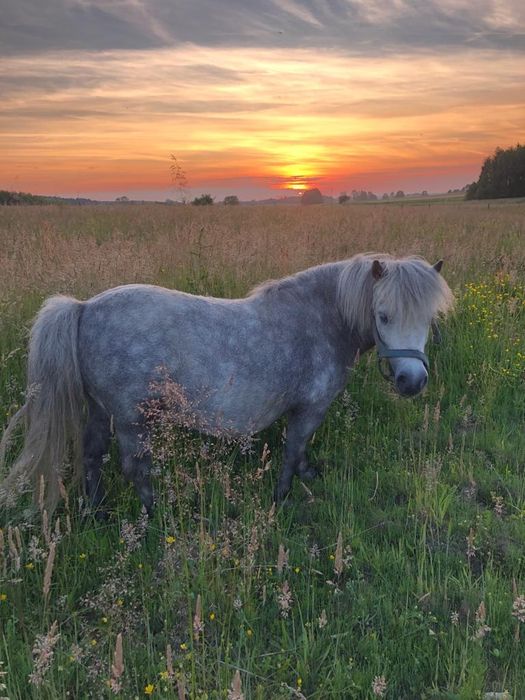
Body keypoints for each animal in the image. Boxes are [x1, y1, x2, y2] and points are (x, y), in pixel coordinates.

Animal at [0, 254, 450, 512]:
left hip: (101, 411)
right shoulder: (310, 408)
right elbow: (292, 450)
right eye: (384, 315)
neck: (321, 319)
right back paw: (153, 518)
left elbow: (301, 451)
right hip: (132, 419)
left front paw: (306, 476)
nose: (412, 382)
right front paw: (282, 499)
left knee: (93, 456)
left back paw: (97, 512)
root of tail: (84, 308)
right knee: (135, 468)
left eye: (428, 318)